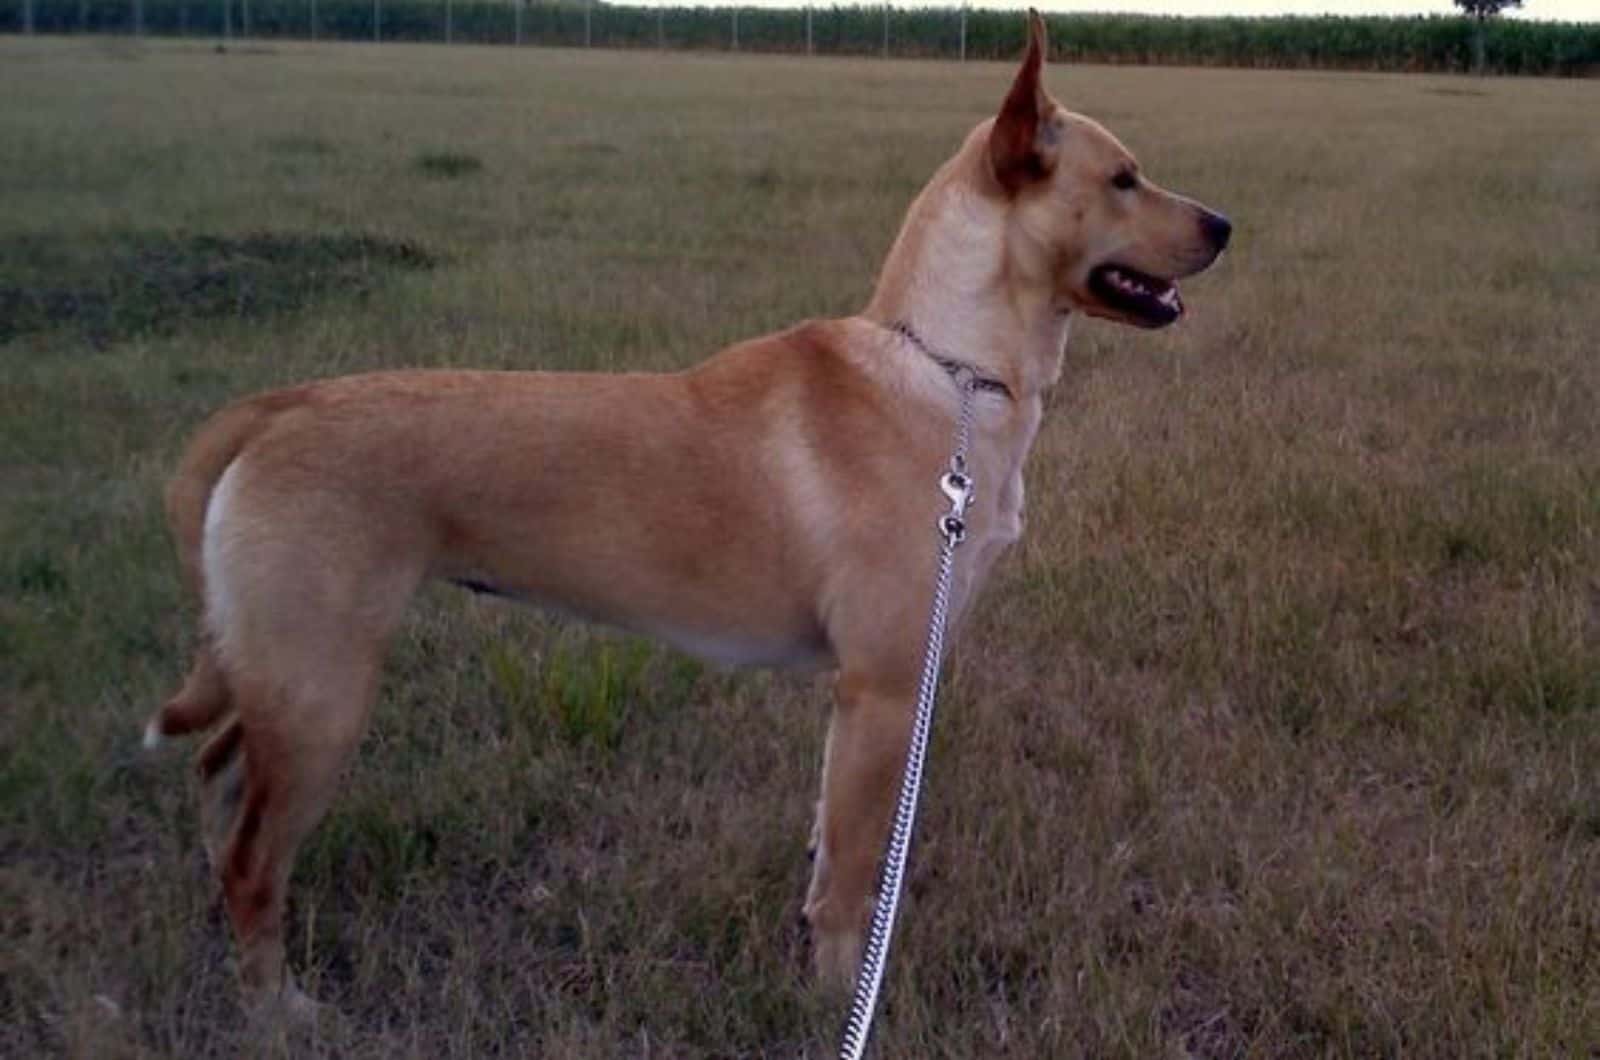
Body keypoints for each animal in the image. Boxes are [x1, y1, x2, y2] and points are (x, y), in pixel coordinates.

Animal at [147, 10, 1222, 1024]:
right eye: (1124, 179)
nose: (1223, 224)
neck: (949, 371)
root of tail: (276, 408)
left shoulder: (865, 702)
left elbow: (826, 839)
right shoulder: (883, 690)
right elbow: (854, 872)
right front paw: (839, 994)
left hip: (279, 676)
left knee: (217, 778)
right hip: (321, 693)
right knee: (254, 857)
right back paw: (275, 1005)